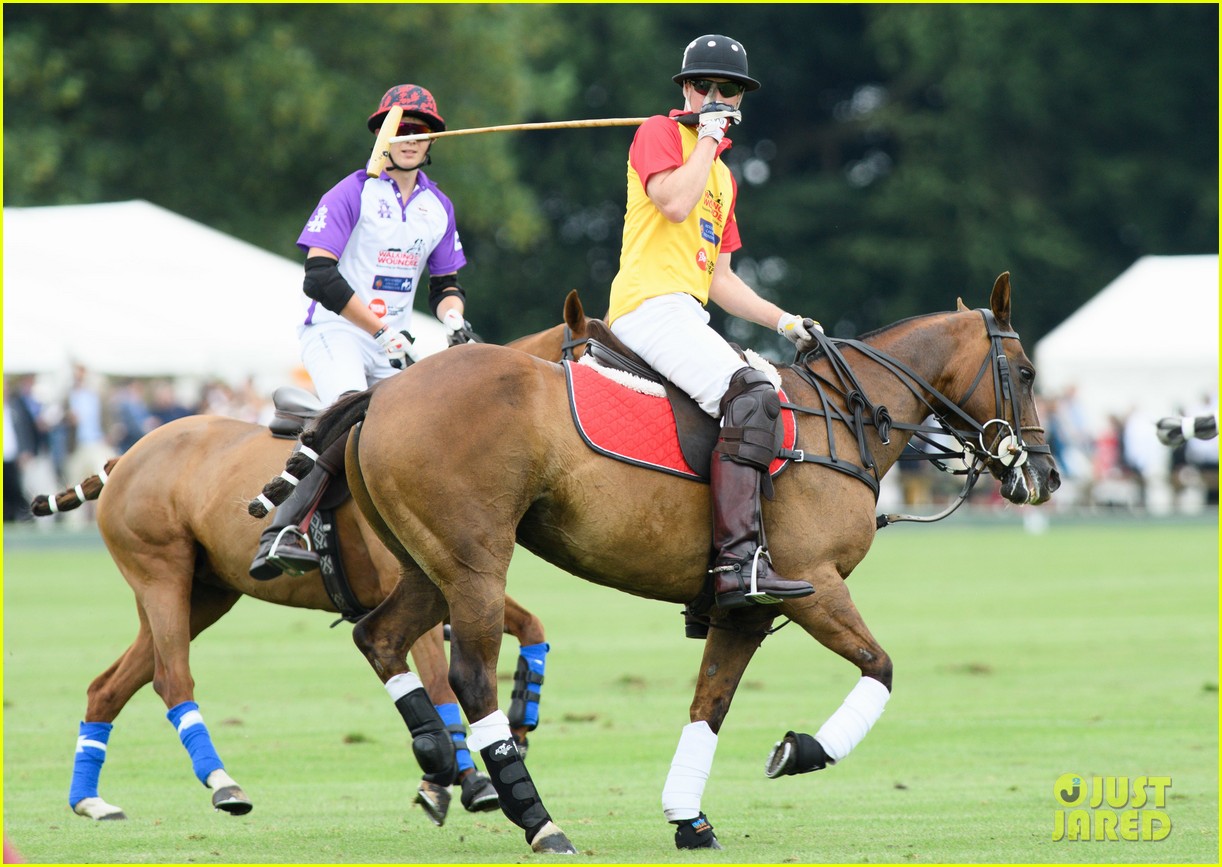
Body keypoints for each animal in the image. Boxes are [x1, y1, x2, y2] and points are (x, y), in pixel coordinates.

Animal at [33, 291, 591, 826]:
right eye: (594, 362)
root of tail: (126, 454)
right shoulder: (428, 580)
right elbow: (438, 682)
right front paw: (459, 781)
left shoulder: (455, 577)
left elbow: (531, 626)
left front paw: (517, 722)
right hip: (161, 576)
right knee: (171, 678)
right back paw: (223, 784)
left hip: (205, 593)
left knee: (108, 686)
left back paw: (91, 801)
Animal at [262, 272, 1055, 851]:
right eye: (1024, 370)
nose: (1044, 476)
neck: (847, 420)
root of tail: (381, 394)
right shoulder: (811, 585)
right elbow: (881, 668)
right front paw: (800, 750)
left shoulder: (746, 607)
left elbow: (711, 703)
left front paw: (689, 818)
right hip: (475, 565)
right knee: (469, 675)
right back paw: (537, 817)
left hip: (428, 564)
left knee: (380, 635)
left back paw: (437, 757)